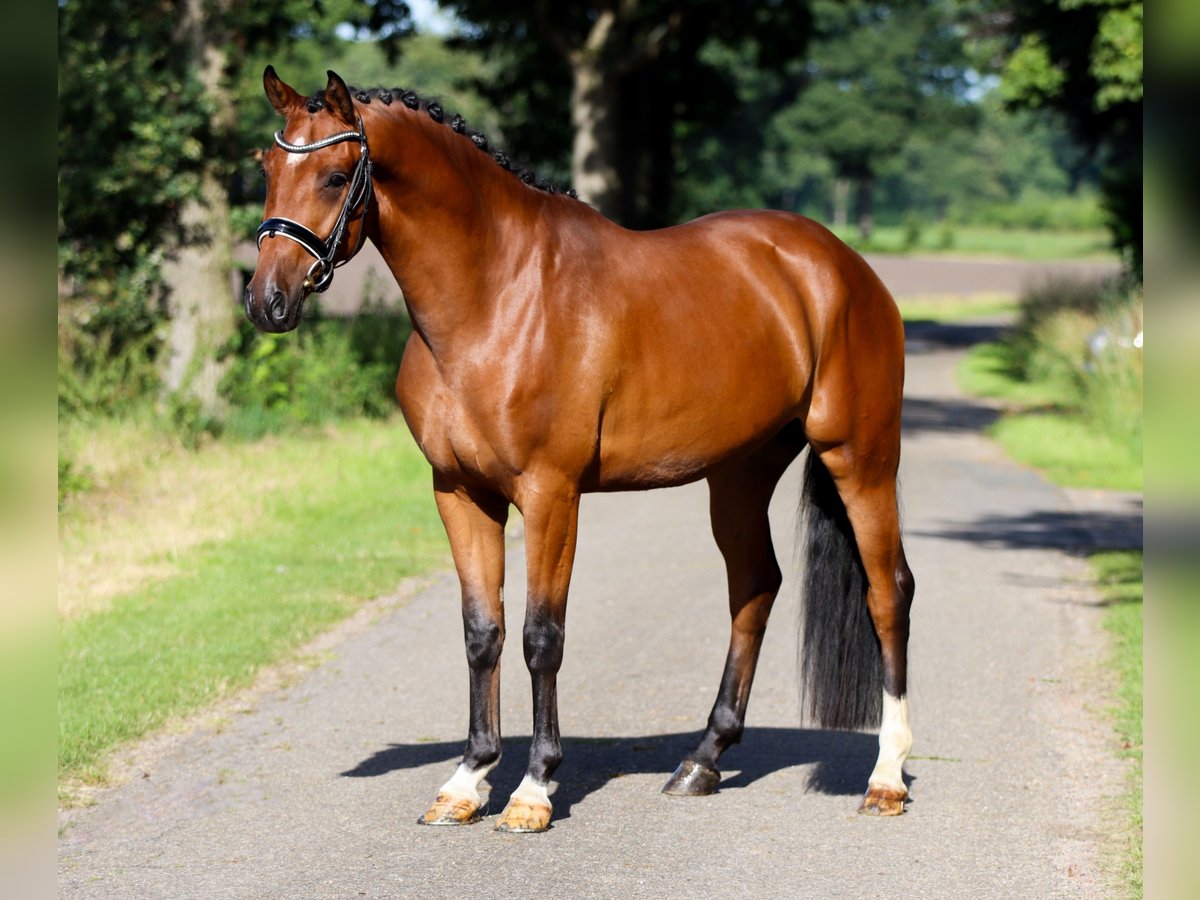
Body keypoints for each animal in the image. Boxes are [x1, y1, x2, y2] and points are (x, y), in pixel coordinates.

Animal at [248, 66, 912, 835]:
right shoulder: (459, 492)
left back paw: (886, 776)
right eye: (267, 169)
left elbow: (541, 636)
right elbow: (482, 631)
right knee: (754, 586)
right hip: (740, 474)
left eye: (333, 176)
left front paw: (533, 789)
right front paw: (467, 780)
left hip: (860, 456)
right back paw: (702, 760)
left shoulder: (551, 493)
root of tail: (841, 265)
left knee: (888, 592)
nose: (266, 301)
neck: (495, 297)